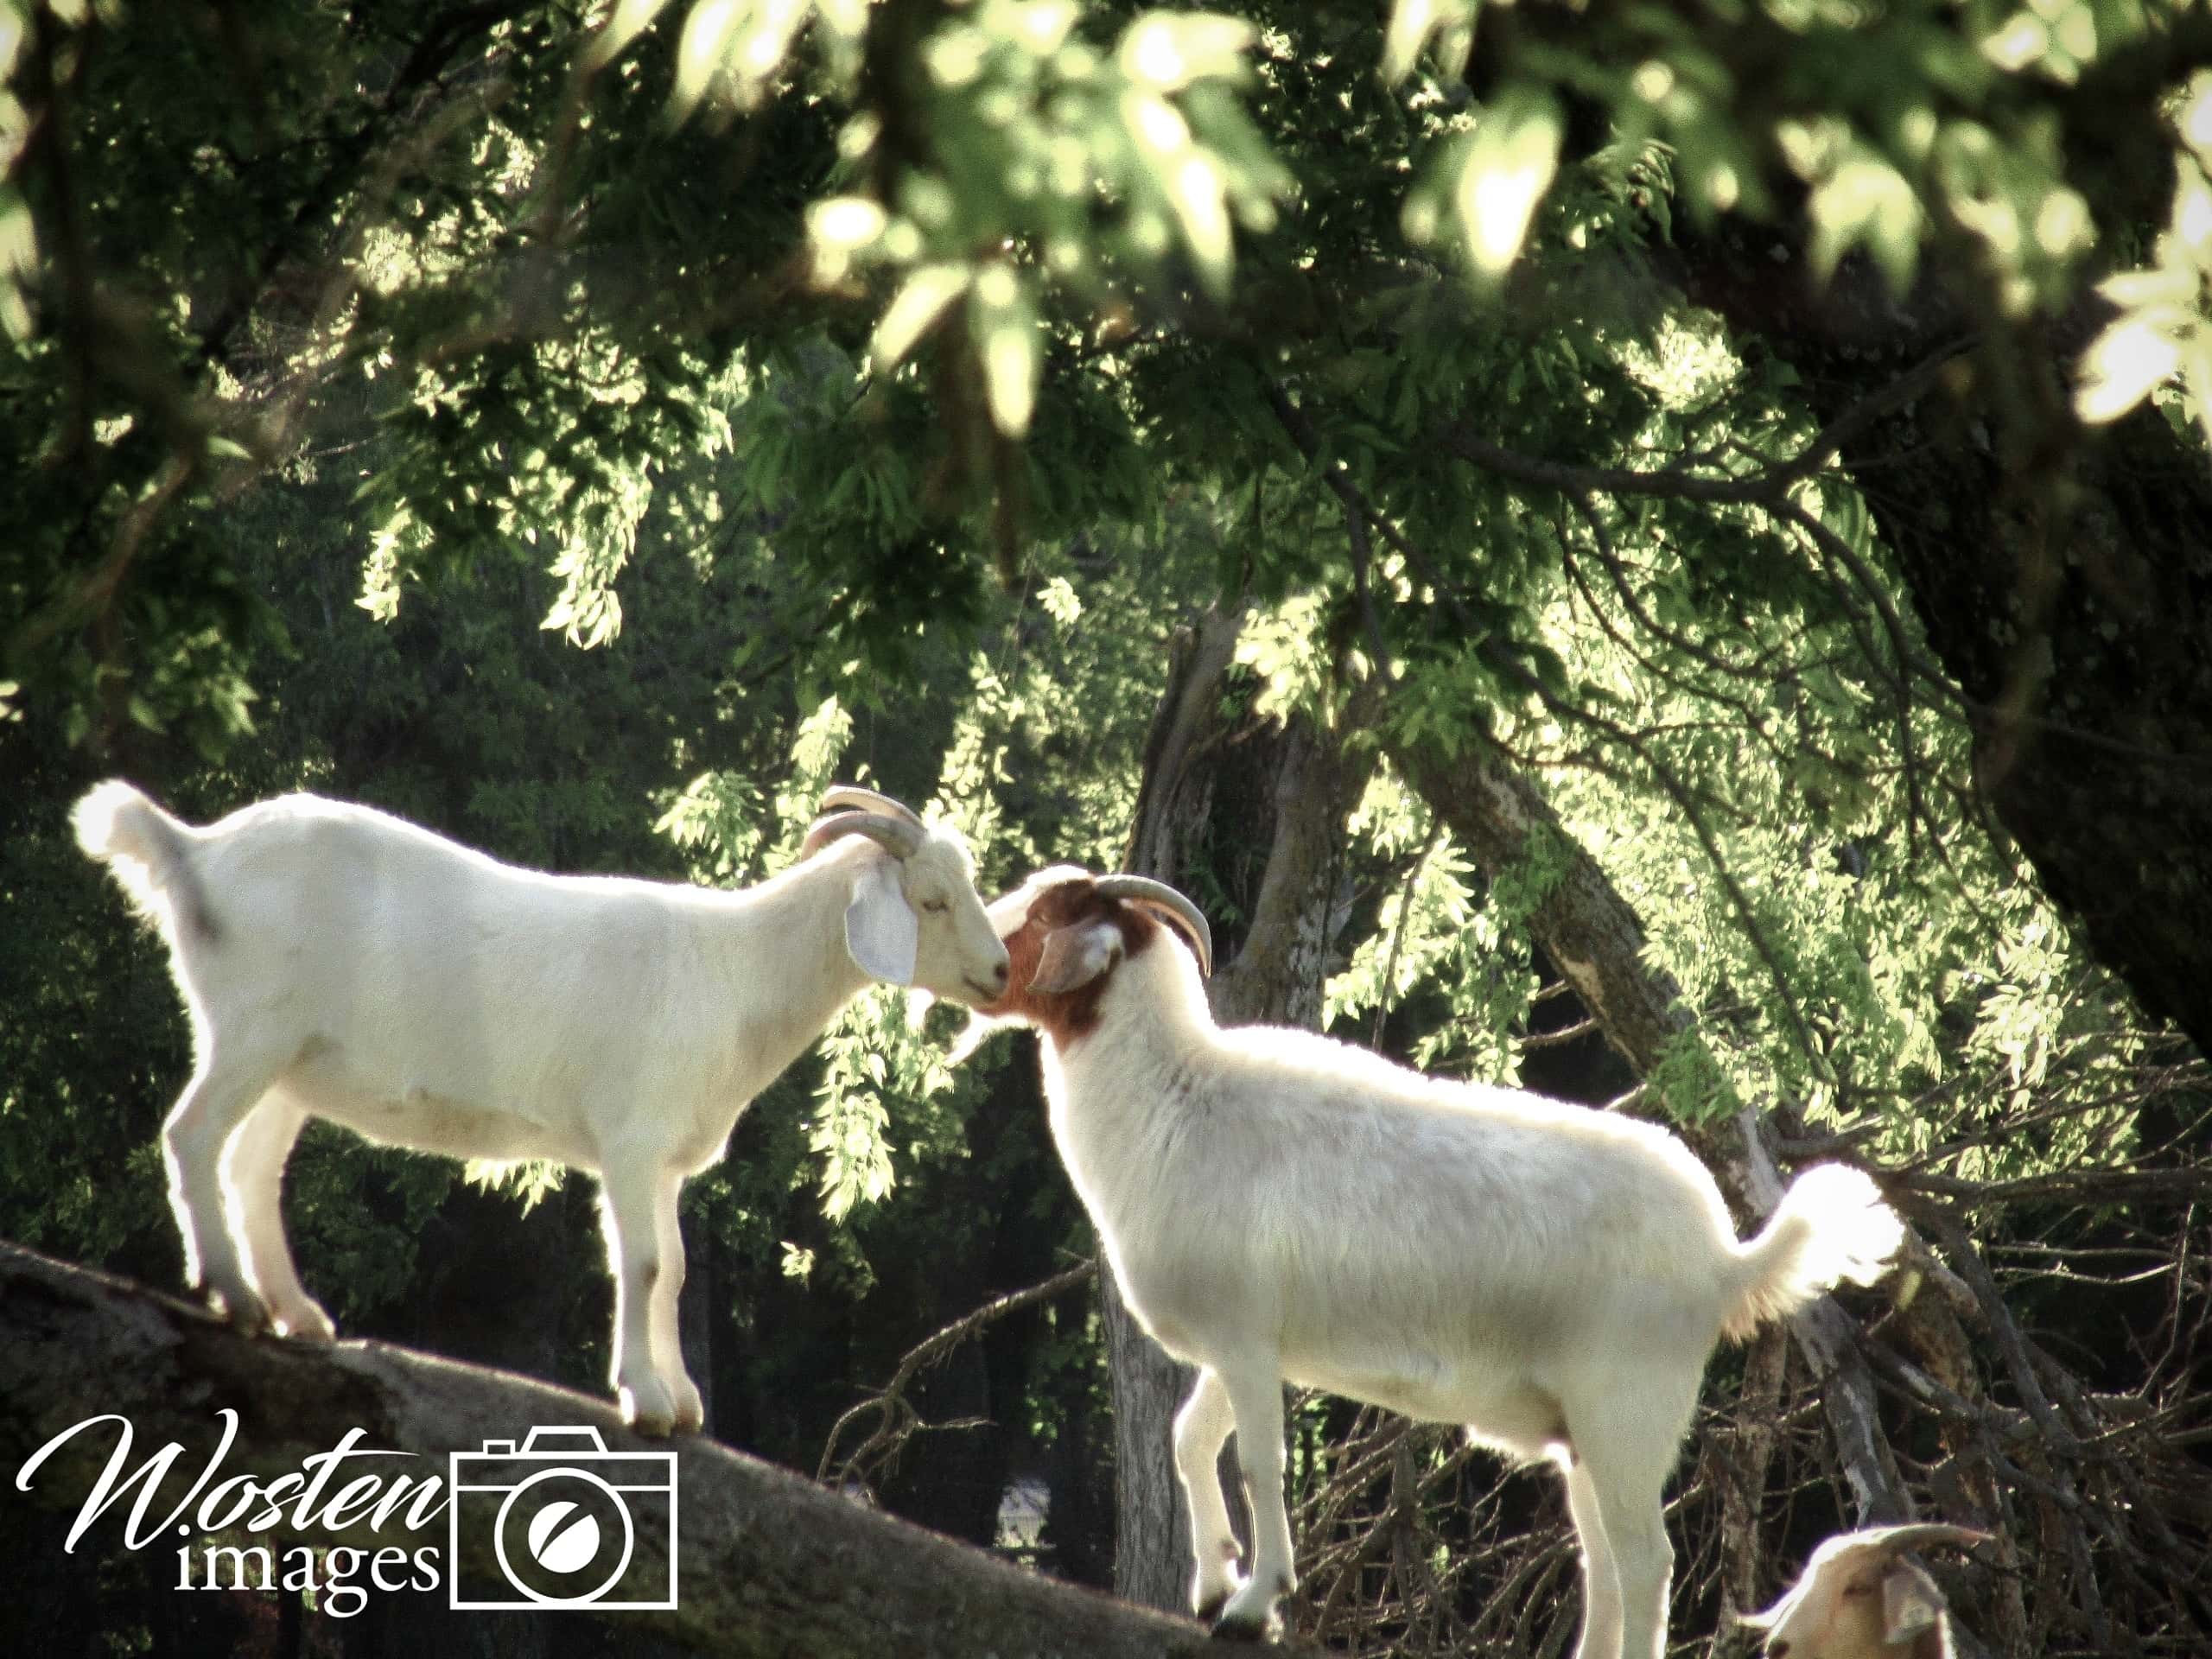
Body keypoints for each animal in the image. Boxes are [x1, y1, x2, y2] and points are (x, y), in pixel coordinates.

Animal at [75, 787, 1013, 1433]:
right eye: (931, 898)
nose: (1003, 971)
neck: (735, 969)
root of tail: (195, 850)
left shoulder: (663, 1158)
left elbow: (675, 1268)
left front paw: (680, 1399)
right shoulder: (631, 1141)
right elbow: (642, 1265)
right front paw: (646, 1400)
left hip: (292, 1064)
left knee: (250, 1168)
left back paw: (295, 1316)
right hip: (249, 1029)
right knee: (193, 1136)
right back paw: (233, 1293)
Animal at [977, 871, 1910, 1659]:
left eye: (1045, 915)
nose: (981, 966)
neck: (1175, 1098)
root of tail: (1727, 1258)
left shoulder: (1243, 1340)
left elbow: (1257, 1463)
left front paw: (1251, 1605)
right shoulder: (1247, 1344)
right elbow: (1189, 1439)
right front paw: (1212, 1586)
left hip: (1630, 1412)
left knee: (1647, 1563)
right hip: (1583, 1433)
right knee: (1604, 1562)